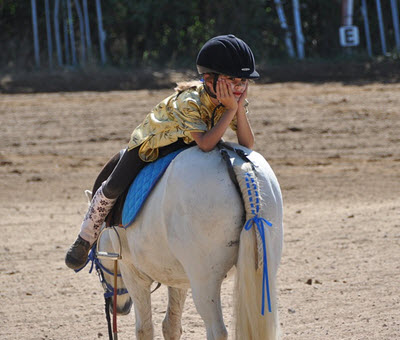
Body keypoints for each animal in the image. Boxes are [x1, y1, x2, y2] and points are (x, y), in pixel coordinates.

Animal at [95, 144, 282, 340]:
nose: (120, 308)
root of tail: (239, 165)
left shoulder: (132, 272)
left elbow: (144, 329)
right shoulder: (179, 278)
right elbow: (171, 326)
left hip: (205, 283)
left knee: (217, 330)